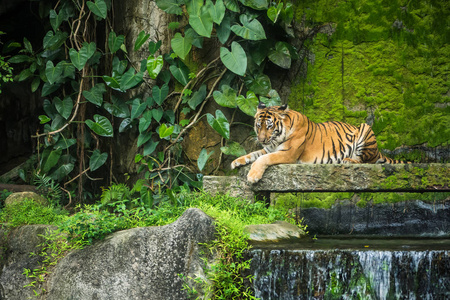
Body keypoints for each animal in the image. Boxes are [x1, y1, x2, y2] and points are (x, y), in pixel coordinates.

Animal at [230, 102, 406, 183]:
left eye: (269, 126)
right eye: (258, 126)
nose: (261, 140)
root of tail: (378, 150)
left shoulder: (288, 154)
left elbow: (262, 159)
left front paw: (252, 176)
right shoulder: (269, 149)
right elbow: (253, 154)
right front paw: (236, 162)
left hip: (365, 128)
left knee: (367, 161)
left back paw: (349, 160)